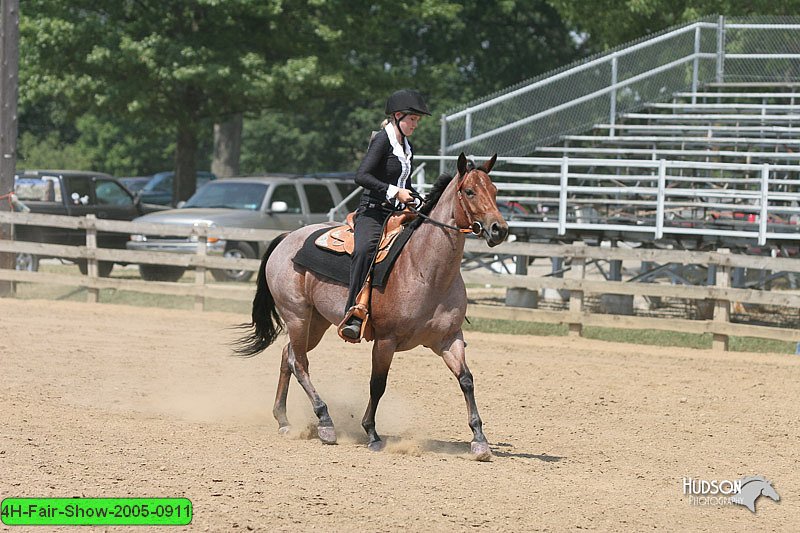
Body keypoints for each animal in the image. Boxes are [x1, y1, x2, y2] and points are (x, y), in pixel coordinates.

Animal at [233, 152, 506, 460]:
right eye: (469, 191)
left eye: (495, 190)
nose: (499, 229)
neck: (425, 268)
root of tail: (287, 238)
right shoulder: (386, 340)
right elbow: (378, 384)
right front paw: (372, 434)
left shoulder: (449, 338)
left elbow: (466, 380)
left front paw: (479, 439)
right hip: (297, 315)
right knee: (299, 363)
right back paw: (325, 422)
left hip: (316, 323)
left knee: (287, 355)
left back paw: (283, 419)